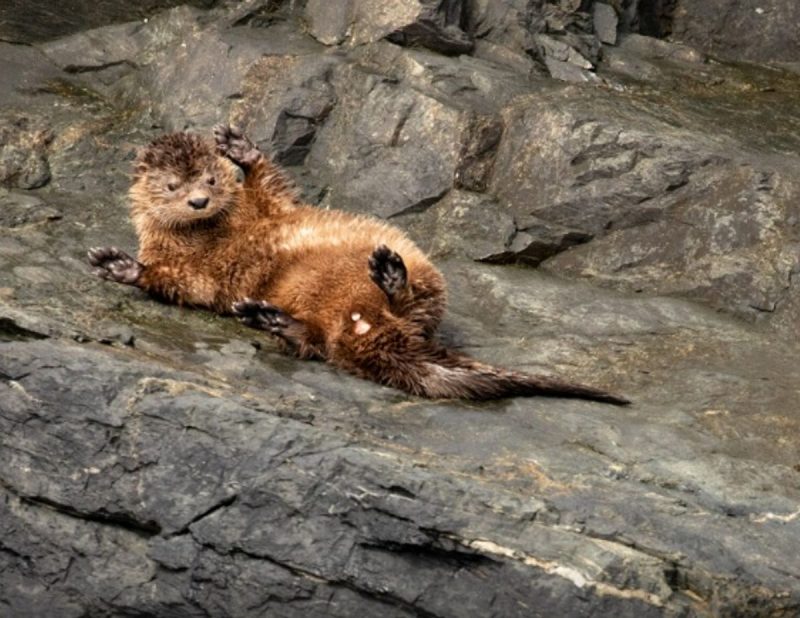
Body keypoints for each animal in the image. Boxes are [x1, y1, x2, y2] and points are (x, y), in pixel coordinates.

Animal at [86, 125, 624, 404]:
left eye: (212, 180)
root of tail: (367, 325)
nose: (198, 201)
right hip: (332, 322)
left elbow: (273, 187)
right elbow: (185, 285)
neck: (217, 234)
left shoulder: (270, 210)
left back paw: (387, 273)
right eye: (172, 185)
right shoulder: (188, 266)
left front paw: (240, 146)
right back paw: (269, 318)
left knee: (412, 298)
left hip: (422, 280)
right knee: (318, 343)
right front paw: (118, 265)